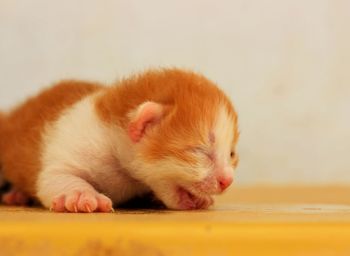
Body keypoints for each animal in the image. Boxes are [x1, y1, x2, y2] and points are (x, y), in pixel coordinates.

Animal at [0, 68, 238, 212]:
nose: (227, 181)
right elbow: (55, 177)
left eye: (231, 154)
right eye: (199, 151)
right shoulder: (74, 149)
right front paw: (79, 194)